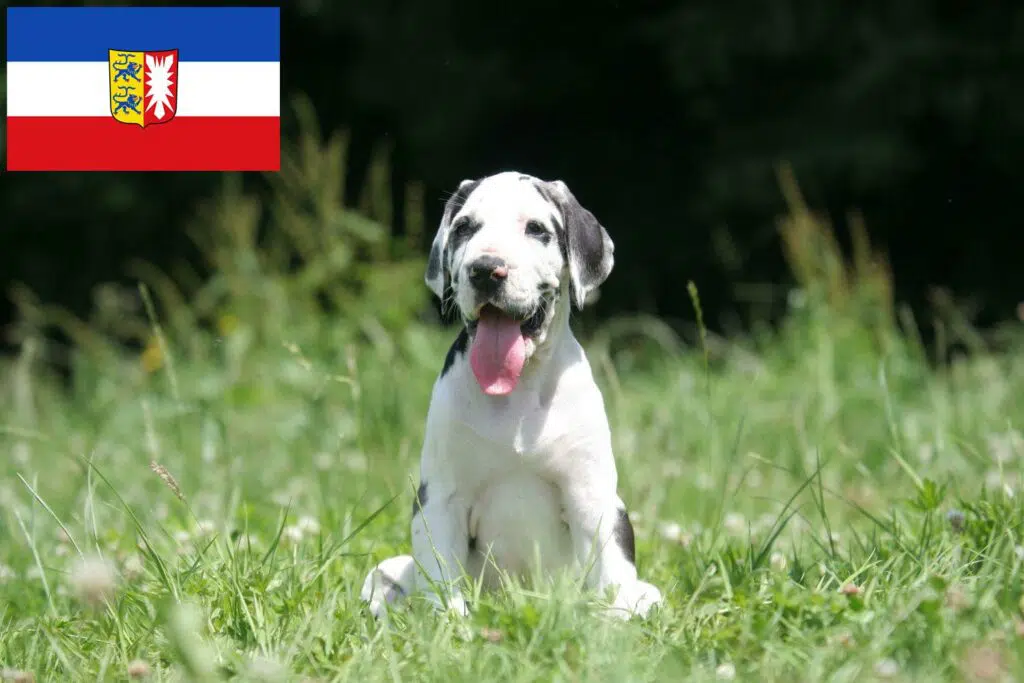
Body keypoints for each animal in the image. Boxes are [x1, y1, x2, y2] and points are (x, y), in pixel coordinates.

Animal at [360, 169, 663, 618]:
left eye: (536, 229)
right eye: (464, 227)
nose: (486, 270)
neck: (517, 392)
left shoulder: (594, 498)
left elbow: (611, 577)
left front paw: (613, 625)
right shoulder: (441, 497)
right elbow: (443, 580)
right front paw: (452, 624)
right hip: (387, 570)